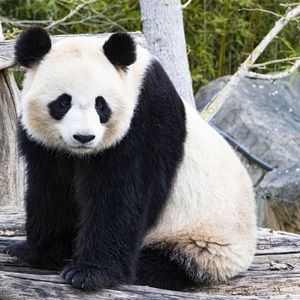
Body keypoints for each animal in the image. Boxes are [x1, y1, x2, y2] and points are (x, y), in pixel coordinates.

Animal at [3, 27, 256, 290]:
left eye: (100, 104)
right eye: (63, 102)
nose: (84, 137)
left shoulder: (144, 123)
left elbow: (121, 194)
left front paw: (89, 272)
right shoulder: (48, 149)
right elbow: (52, 191)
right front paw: (33, 252)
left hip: (202, 242)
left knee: (168, 261)